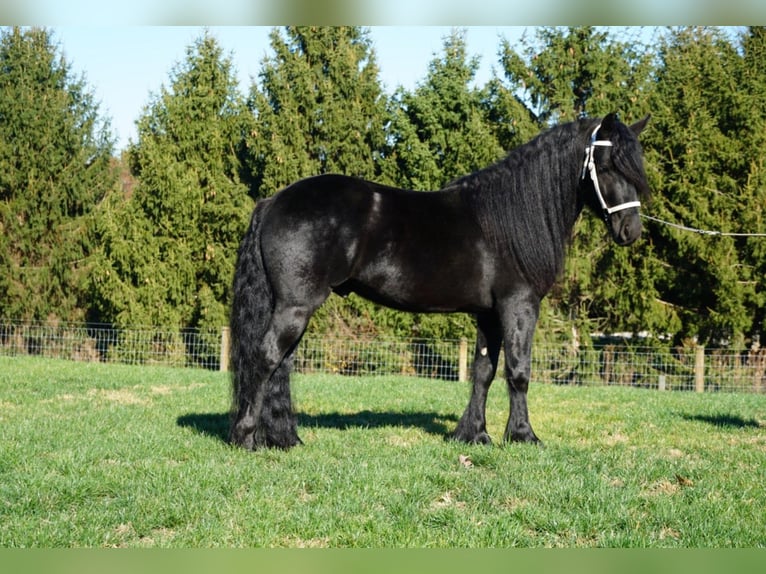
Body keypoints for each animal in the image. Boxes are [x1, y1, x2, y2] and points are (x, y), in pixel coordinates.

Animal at [229, 112, 651, 450]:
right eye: (608, 166)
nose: (631, 231)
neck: (511, 217)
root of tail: (273, 201)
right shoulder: (519, 304)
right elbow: (518, 371)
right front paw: (523, 436)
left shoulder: (488, 314)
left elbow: (483, 371)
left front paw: (474, 434)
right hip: (296, 306)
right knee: (266, 359)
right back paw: (247, 438)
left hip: (291, 308)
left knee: (280, 364)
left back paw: (283, 438)